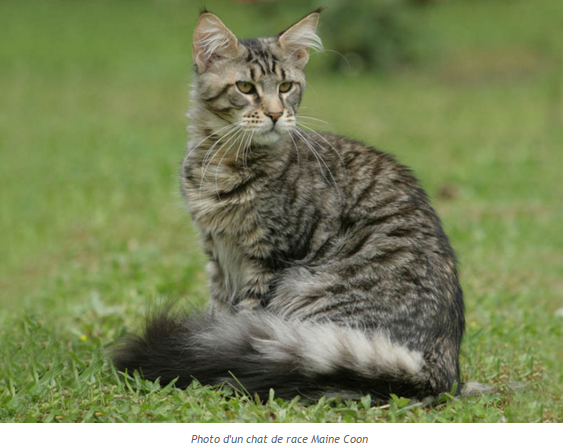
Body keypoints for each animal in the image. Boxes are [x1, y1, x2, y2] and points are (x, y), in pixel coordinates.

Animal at [112, 9, 464, 402]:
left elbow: (243, 320)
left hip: (306, 291)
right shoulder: (218, 254)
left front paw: (212, 355)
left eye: (284, 87)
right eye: (245, 88)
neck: (223, 162)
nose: (276, 114)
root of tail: (442, 371)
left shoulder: (268, 257)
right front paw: (207, 343)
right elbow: (220, 317)